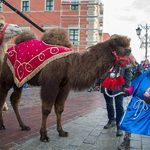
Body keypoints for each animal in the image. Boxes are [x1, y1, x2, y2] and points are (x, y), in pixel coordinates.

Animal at [0, 28, 131, 142]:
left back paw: (23, 126)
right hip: (7, 78)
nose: (131, 61)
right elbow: (46, 109)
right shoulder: (51, 83)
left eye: (128, 48)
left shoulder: (64, 86)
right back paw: (2, 125)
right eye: (124, 49)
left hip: (19, 80)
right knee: (3, 97)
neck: (70, 64)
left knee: (14, 99)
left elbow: (59, 109)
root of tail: (8, 52)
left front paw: (61, 131)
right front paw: (44, 135)